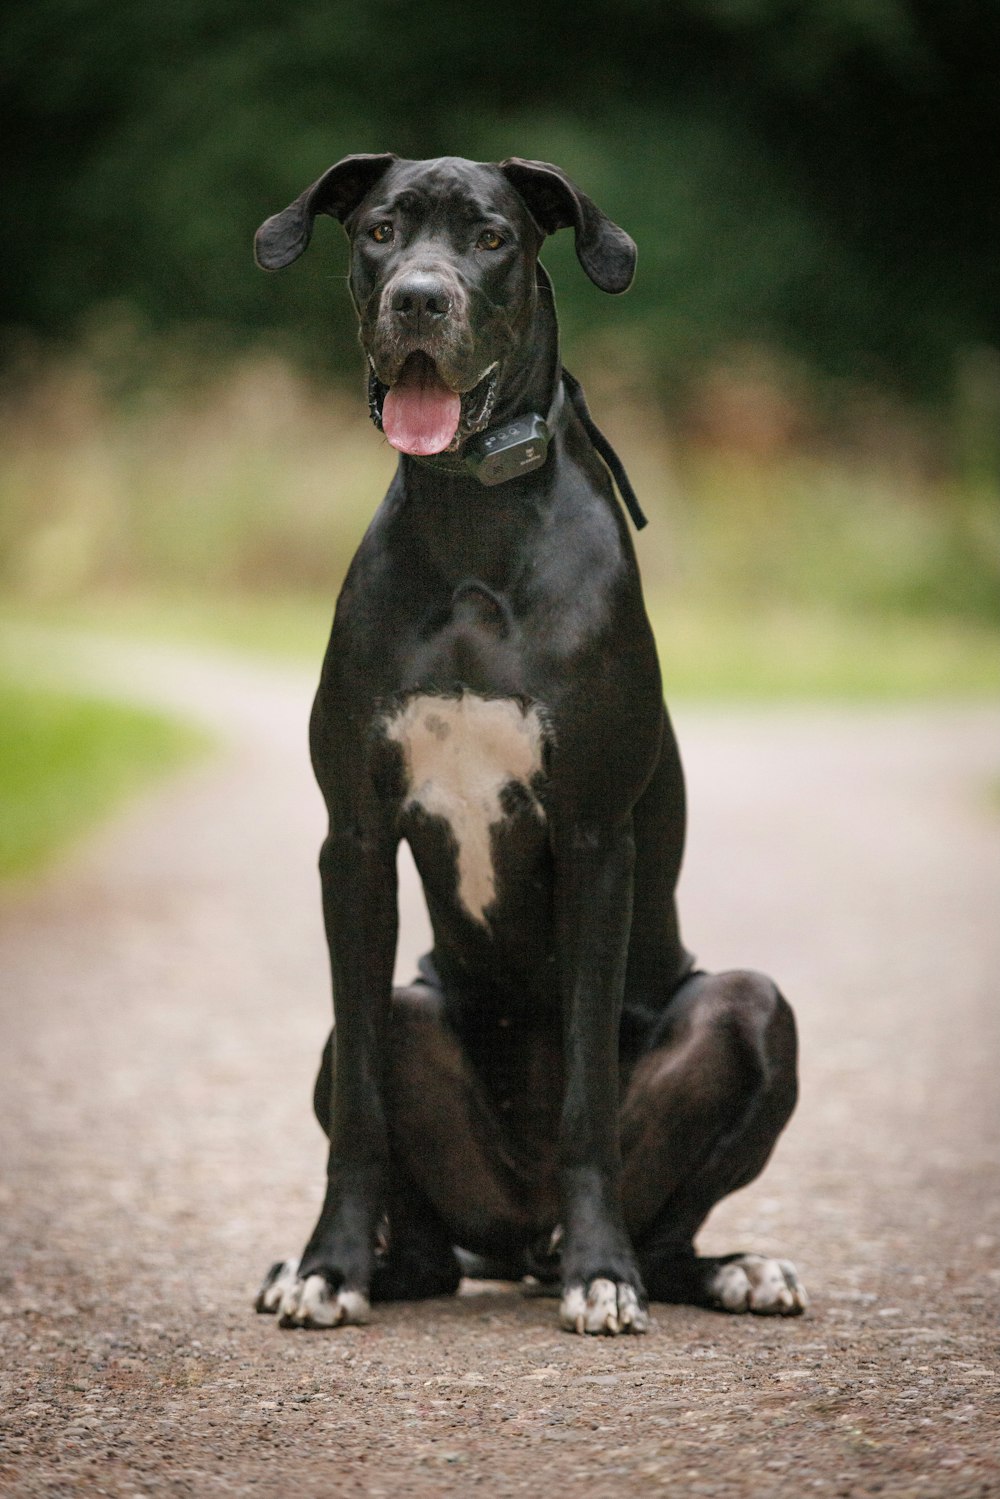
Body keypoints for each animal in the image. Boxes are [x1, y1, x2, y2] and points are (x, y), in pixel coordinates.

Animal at [251, 155, 803, 1337]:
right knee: (422, 1233)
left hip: (751, 1009)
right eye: (378, 231)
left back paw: (700, 1266)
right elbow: (360, 1108)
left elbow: (588, 1090)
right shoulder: (351, 840)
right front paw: (326, 1266)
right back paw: (359, 1264)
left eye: (494, 237)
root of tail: (518, 1233)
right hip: (406, 1016)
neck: (472, 523)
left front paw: (606, 1275)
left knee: (666, 1226)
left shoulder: (594, 838)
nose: (419, 298)